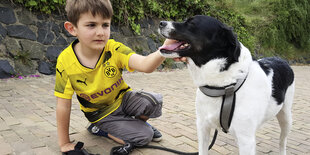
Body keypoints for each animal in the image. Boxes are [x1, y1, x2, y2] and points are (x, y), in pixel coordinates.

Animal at [159, 14, 294, 155]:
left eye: (192, 23)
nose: (161, 23)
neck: (223, 85)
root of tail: (282, 60)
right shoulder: (203, 126)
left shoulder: (246, 139)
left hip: (286, 118)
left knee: (282, 141)